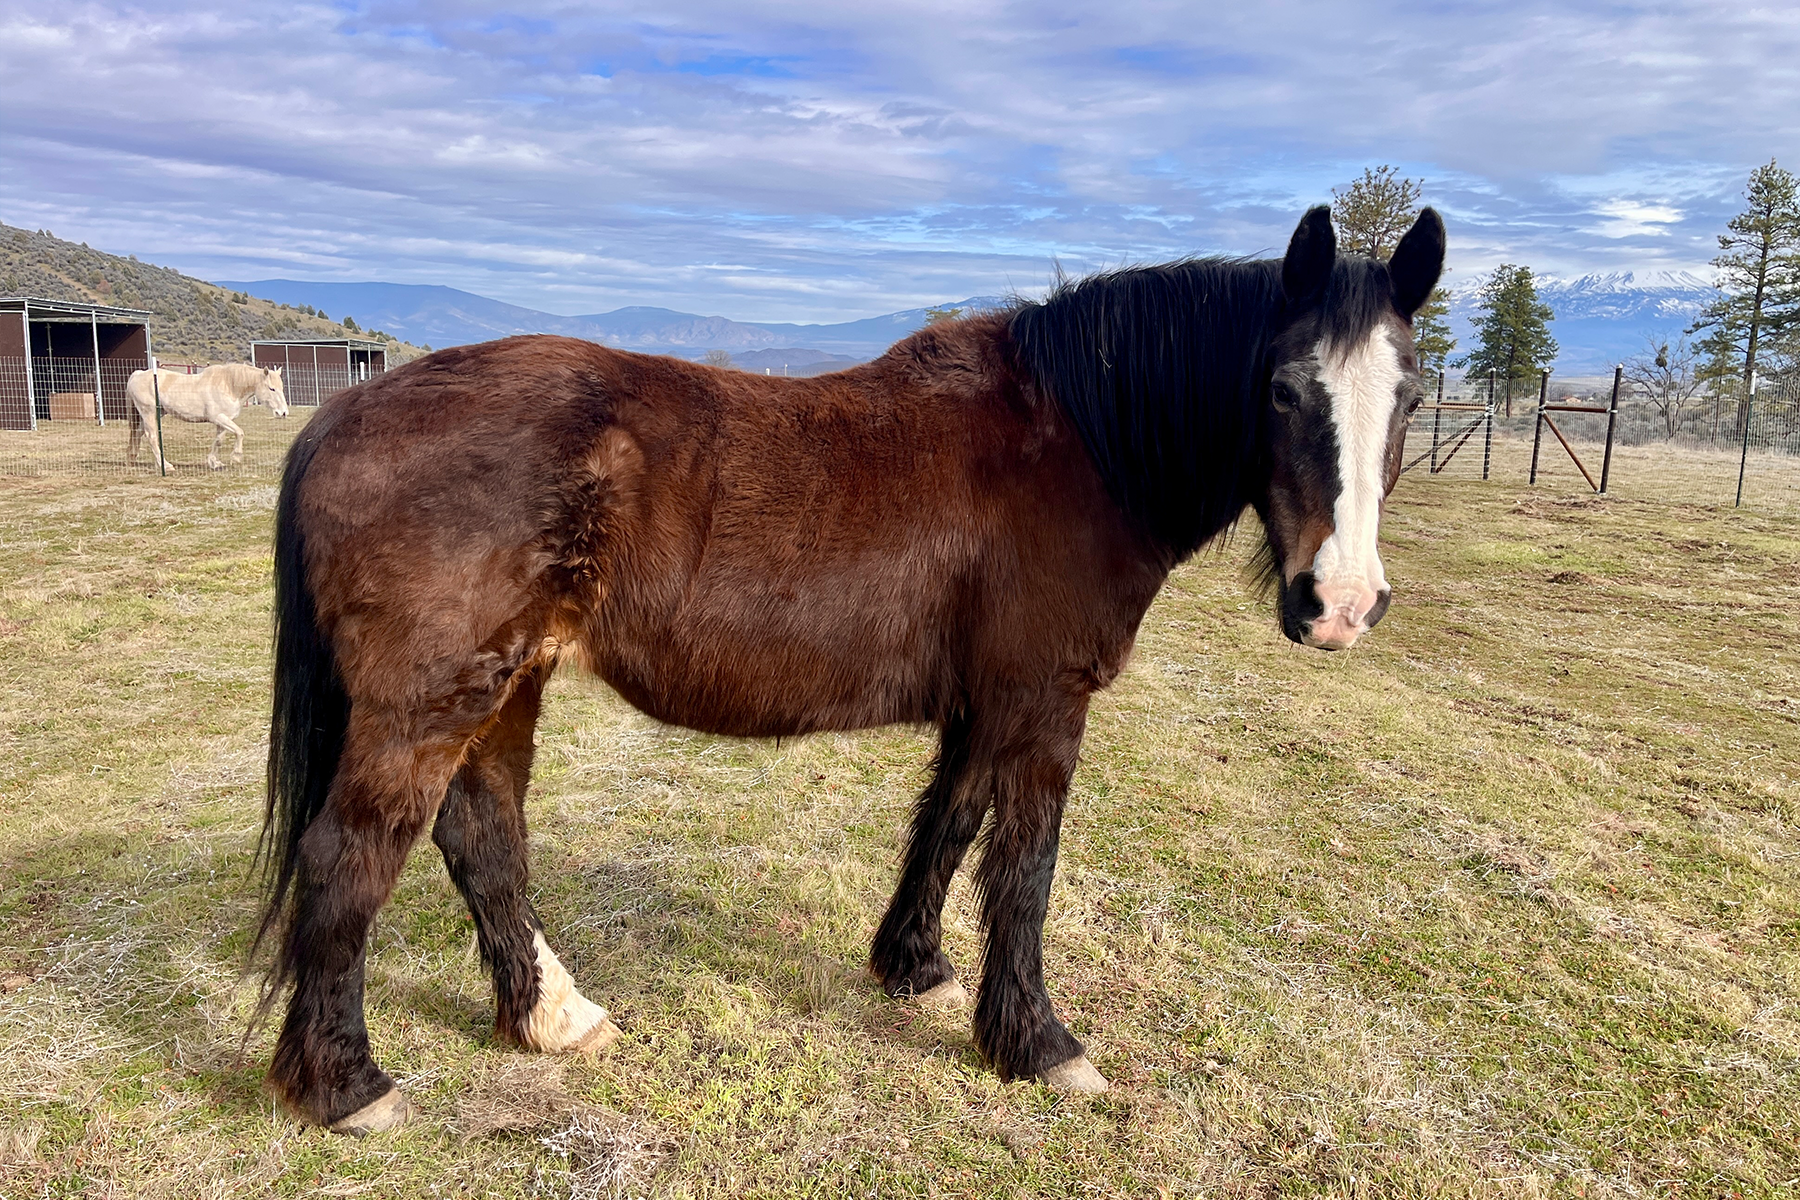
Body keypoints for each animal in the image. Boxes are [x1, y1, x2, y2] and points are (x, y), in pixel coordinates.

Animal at [126, 363, 288, 470]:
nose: (283, 413)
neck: (229, 385)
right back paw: (165, 465)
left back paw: (137, 459)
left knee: (138, 434)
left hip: (155, 414)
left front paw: (214, 462)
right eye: (271, 389)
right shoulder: (218, 418)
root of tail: (137, 375)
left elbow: (219, 441)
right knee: (151, 436)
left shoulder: (223, 421)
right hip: (149, 413)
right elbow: (240, 433)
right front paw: (236, 457)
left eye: (281, 388)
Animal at [255, 205, 1445, 1134]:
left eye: (1412, 397)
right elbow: (1026, 870)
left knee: (482, 836)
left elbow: (949, 825)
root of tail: (342, 412)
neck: (1079, 440)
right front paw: (1040, 1044)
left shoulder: (985, 702)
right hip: (430, 701)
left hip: (507, 686)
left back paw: (552, 1019)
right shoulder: (1044, 702)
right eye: (1284, 391)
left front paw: (913, 970)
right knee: (350, 858)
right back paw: (347, 1086)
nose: (1340, 604)